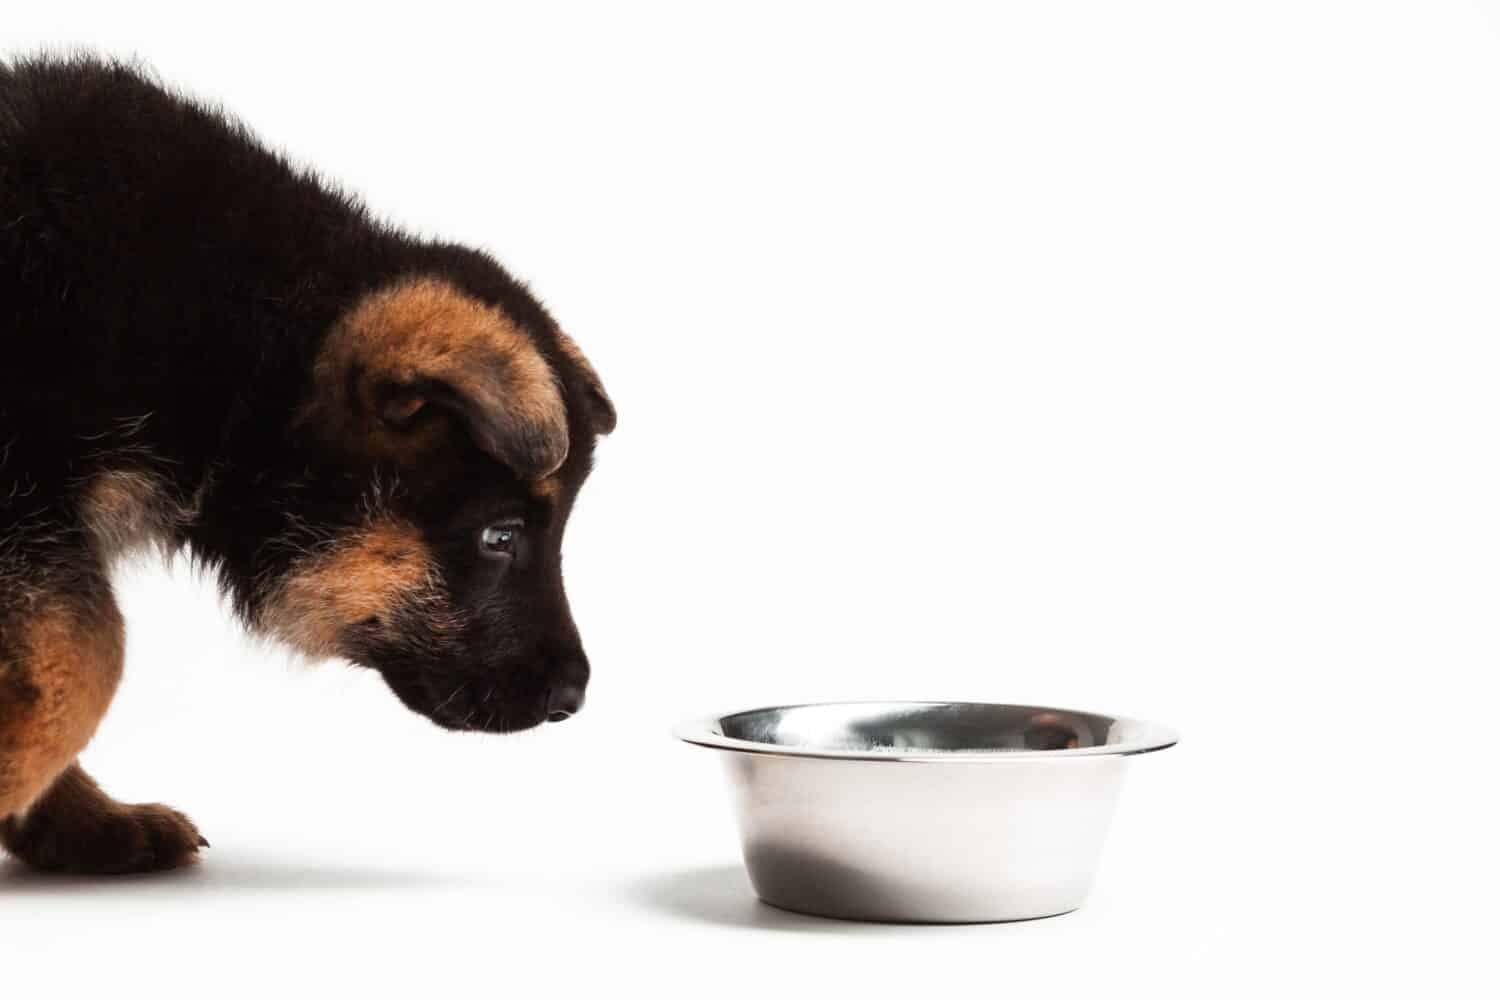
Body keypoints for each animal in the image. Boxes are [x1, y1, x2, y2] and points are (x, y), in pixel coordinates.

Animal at [0, 54, 615, 869]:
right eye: (500, 536)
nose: (571, 699)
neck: (249, 352)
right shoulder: (23, 494)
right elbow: (83, 654)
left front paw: (74, 821)